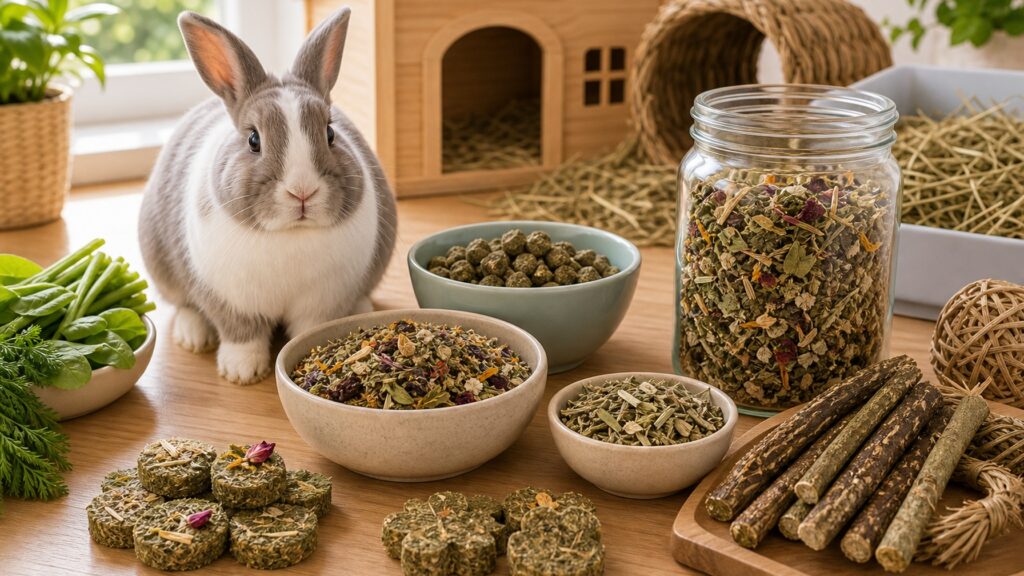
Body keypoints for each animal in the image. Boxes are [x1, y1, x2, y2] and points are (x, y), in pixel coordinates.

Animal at [139, 7, 397, 384]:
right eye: (253, 139)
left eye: (330, 133)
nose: (302, 191)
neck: (289, 234)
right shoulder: (230, 301)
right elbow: (241, 335)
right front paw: (241, 373)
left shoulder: (322, 302)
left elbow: (310, 331)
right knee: (184, 305)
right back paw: (193, 336)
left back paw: (361, 308)